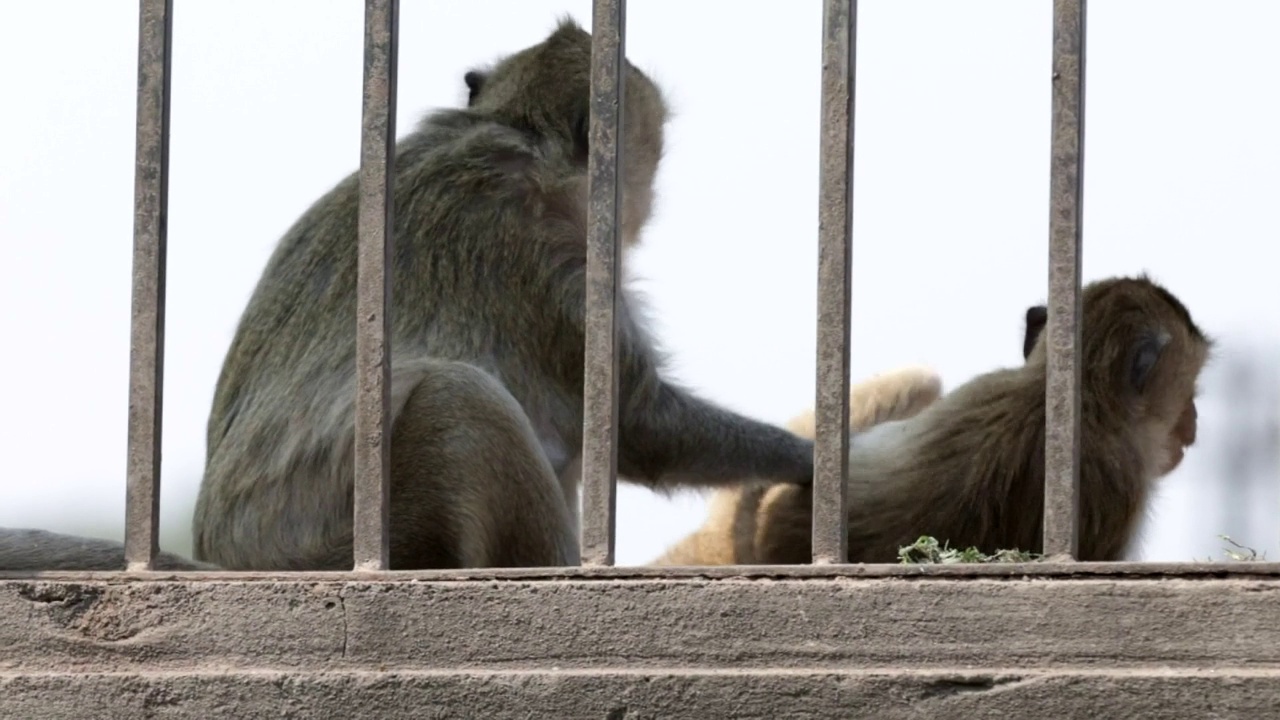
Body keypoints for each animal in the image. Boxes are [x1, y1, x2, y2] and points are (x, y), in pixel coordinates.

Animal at [185, 18, 814, 571]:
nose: (644, 204)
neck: (522, 136)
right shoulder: (552, 270)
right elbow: (640, 426)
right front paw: (807, 460)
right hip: (395, 535)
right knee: (459, 397)